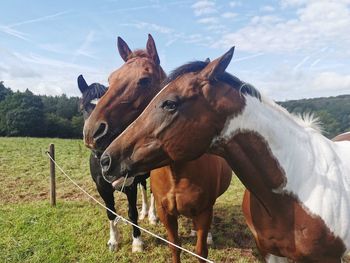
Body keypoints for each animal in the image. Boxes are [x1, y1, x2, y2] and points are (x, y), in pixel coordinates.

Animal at [78, 75, 157, 253]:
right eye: (83, 107)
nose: (96, 135)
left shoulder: (129, 185)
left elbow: (131, 212)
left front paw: (137, 243)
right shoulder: (102, 187)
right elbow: (111, 213)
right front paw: (113, 241)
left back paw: (152, 216)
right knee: (144, 187)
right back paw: (144, 212)